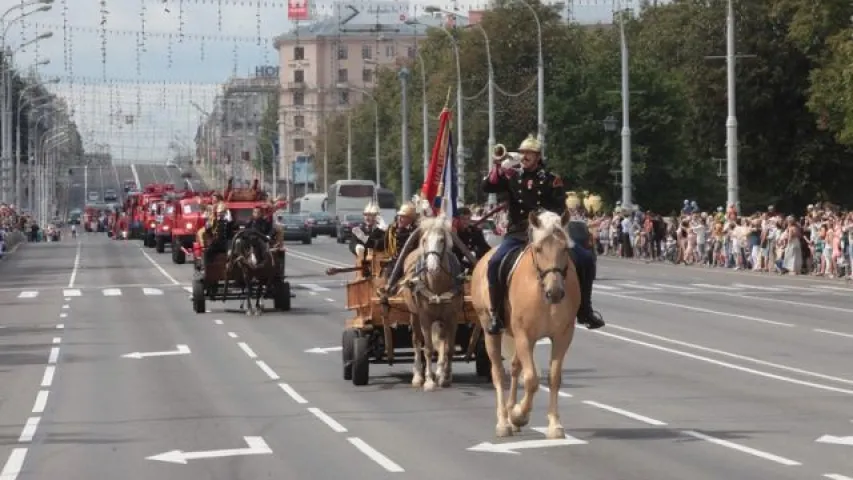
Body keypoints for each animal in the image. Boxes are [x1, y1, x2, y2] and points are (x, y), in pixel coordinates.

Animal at [466, 210, 580, 438]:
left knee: (514, 368)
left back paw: (511, 415)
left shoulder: (562, 336)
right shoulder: (525, 336)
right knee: (498, 373)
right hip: (490, 330)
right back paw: (504, 421)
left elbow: (554, 377)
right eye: (538, 248)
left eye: (564, 248)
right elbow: (531, 379)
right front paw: (519, 414)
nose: (555, 292)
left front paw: (554, 424)